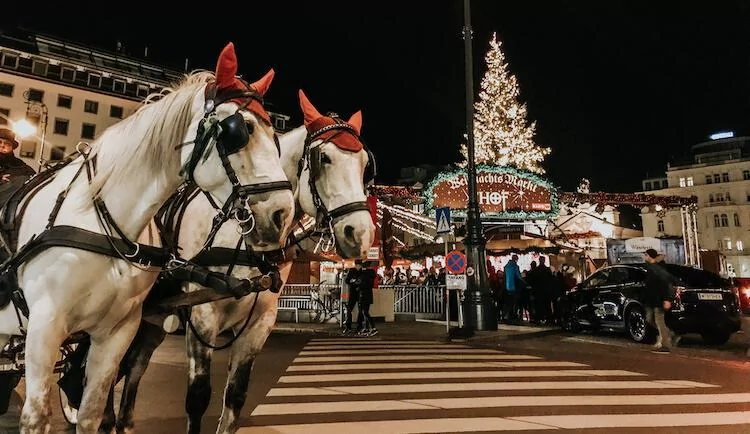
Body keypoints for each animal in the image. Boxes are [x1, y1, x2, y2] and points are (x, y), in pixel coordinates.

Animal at [0, 41, 296, 434]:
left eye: (275, 137)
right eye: (239, 130)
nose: (280, 215)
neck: (105, 221)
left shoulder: (116, 332)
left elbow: (92, 411)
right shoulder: (43, 330)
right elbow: (36, 418)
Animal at [84, 89, 376, 434]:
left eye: (364, 164)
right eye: (324, 158)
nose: (360, 233)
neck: (241, 233)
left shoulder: (260, 322)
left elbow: (236, 396)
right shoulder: (202, 316)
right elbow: (198, 396)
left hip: (152, 319)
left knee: (134, 365)